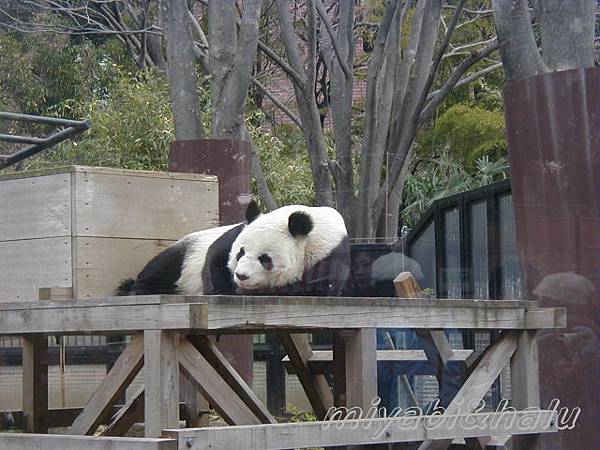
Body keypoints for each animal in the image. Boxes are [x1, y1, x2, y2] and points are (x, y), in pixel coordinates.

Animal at [116, 200, 350, 296]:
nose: (241, 276)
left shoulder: (329, 254)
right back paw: (137, 288)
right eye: (241, 253)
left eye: (265, 259)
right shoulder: (236, 231)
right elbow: (216, 256)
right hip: (187, 249)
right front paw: (222, 287)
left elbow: (312, 286)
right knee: (164, 265)